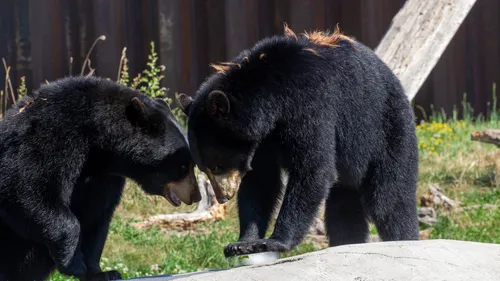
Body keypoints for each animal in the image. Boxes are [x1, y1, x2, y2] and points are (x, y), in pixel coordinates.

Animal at [0, 75, 200, 278]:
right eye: (183, 166)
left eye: (191, 164)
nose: (196, 195)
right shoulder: (49, 135)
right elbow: (28, 189)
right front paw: (74, 263)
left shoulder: (104, 176)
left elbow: (97, 217)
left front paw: (101, 272)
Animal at [178, 25, 420, 258]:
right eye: (203, 168)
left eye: (216, 166)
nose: (223, 197)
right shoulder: (263, 139)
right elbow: (261, 180)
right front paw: (242, 243)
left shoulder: (309, 102)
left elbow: (312, 167)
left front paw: (275, 241)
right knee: (342, 208)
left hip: (388, 131)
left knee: (389, 198)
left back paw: (403, 238)